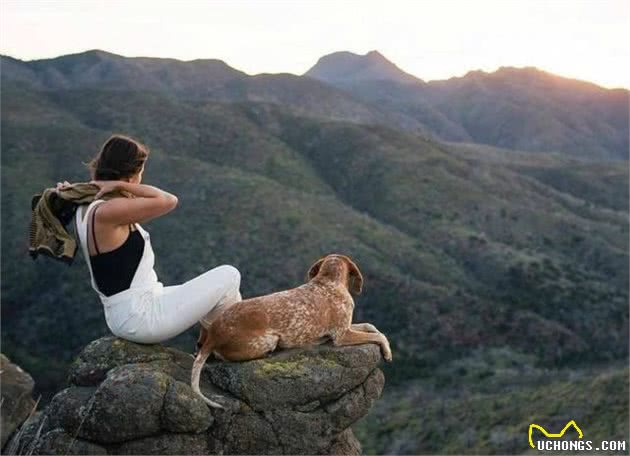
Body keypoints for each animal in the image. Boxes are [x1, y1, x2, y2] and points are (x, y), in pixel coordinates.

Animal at [190, 255, 392, 408]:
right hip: (269, 340)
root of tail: (213, 334)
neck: (328, 281)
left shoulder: (346, 328)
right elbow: (378, 334)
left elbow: (370, 326)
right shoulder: (341, 336)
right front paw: (388, 352)